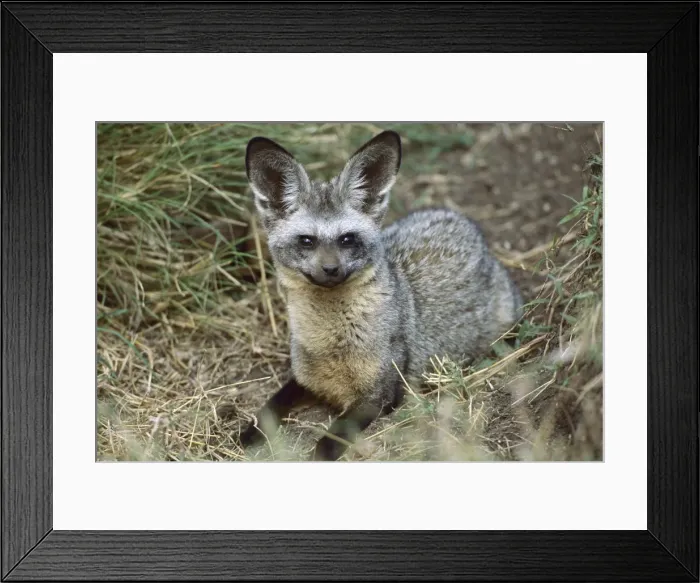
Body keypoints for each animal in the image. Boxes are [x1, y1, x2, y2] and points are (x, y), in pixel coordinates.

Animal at [239, 129, 523, 461]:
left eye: (347, 239)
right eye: (306, 241)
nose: (331, 269)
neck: (333, 345)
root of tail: (462, 220)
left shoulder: (381, 394)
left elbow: (329, 439)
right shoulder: (304, 379)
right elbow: (270, 408)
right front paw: (249, 431)